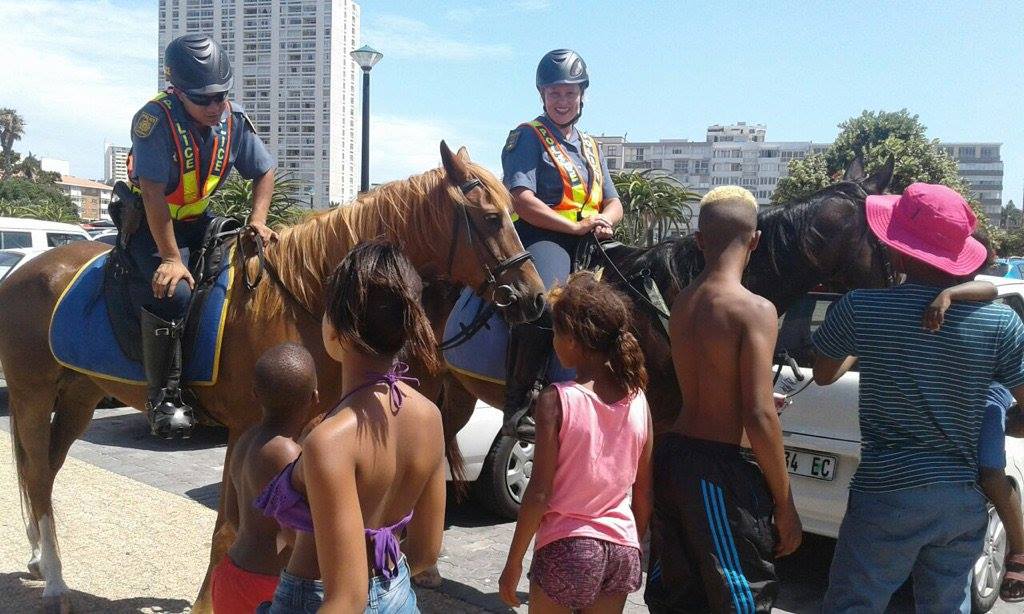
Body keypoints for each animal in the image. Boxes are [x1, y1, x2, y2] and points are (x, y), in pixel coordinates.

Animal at [0, 142, 548, 614]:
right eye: (493, 217)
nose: (535, 297)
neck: (300, 295)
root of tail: (23, 272)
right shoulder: (248, 429)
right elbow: (228, 526)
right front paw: (208, 603)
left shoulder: (308, 428)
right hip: (31, 395)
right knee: (38, 476)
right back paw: (55, 583)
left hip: (79, 395)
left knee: (45, 470)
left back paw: (39, 558)